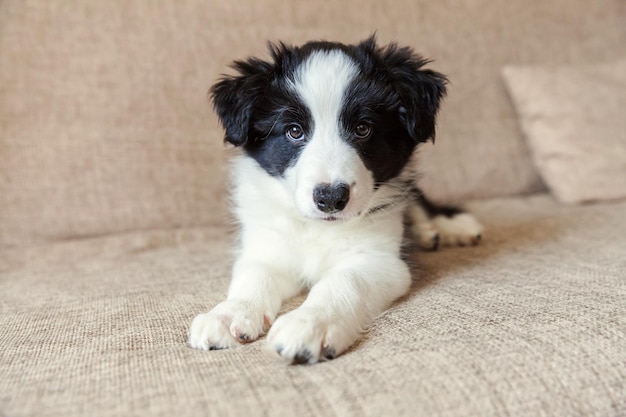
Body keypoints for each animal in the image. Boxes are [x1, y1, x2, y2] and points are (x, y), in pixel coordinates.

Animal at [188, 38, 480, 364]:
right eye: (294, 131)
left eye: (363, 128)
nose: (330, 198)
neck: (317, 227)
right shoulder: (267, 247)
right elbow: (253, 277)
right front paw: (228, 314)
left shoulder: (380, 260)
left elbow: (344, 282)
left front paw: (309, 323)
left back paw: (450, 227)